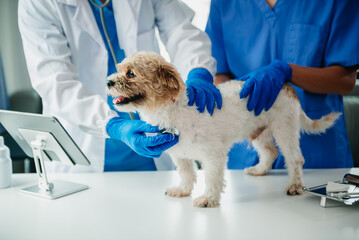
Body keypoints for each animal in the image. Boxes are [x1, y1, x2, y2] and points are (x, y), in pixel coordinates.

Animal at [106, 51, 340, 208]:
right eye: (119, 70)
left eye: (131, 73)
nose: (108, 82)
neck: (172, 110)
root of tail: (286, 85)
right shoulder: (179, 154)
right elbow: (187, 174)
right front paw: (182, 191)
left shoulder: (213, 155)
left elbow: (212, 178)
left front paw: (208, 199)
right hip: (259, 132)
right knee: (270, 152)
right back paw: (259, 170)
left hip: (285, 129)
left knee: (295, 159)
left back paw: (295, 185)